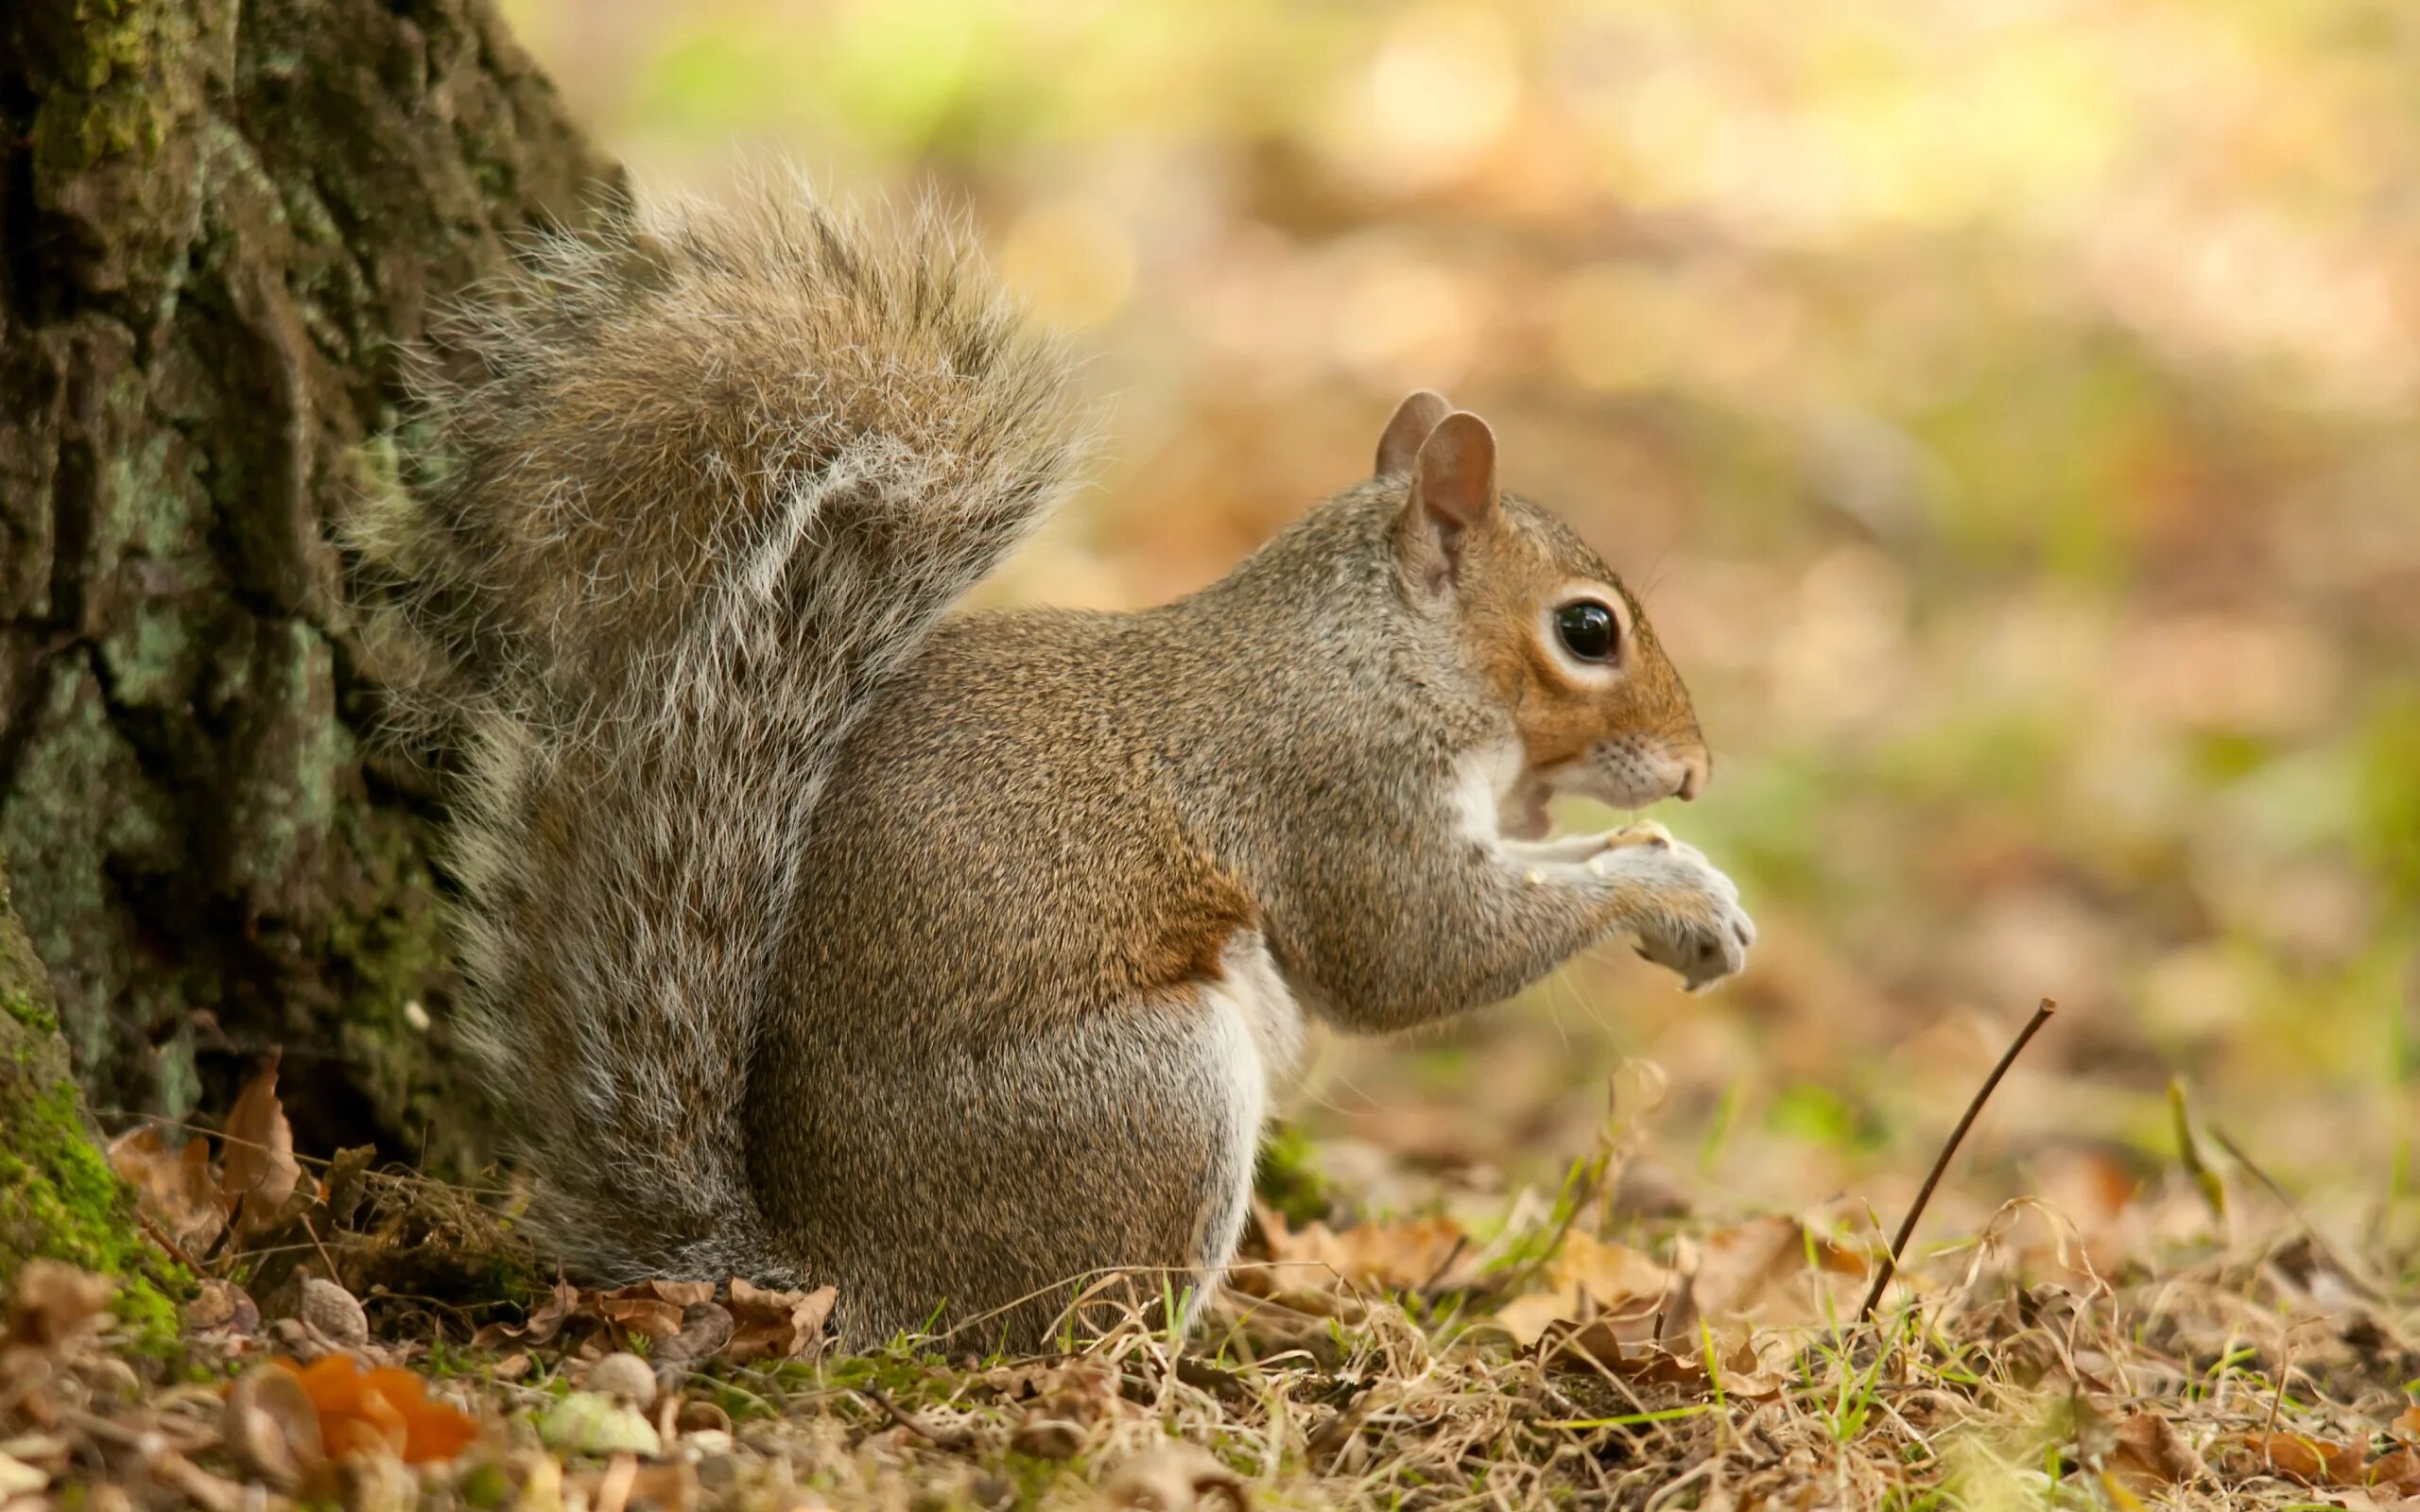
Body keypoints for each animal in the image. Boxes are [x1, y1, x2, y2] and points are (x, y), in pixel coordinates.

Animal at [353, 182, 1761, 1354]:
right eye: (1588, 631)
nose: (1694, 773)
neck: (1373, 651)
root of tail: (838, 1280)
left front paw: (1677, 873)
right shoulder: (1334, 788)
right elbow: (1415, 954)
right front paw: (1668, 890)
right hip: (1151, 1094)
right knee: (1072, 1324)